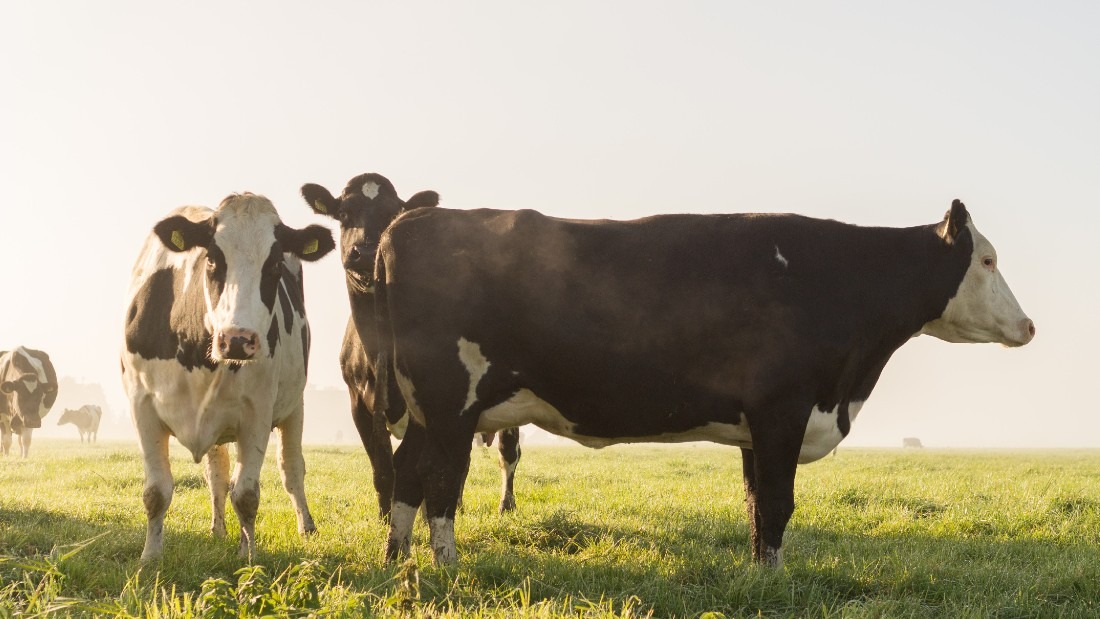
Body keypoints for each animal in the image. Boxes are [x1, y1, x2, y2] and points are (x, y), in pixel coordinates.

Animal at [120, 192, 332, 562]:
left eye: (274, 265)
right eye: (212, 259)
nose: (237, 339)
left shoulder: (257, 413)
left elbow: (246, 495)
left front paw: (249, 557)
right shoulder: (141, 406)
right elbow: (156, 491)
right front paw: (150, 557)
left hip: (295, 407)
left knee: (291, 468)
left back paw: (305, 527)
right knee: (217, 474)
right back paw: (217, 529)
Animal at [301, 173, 523, 518]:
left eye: (393, 214)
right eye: (344, 214)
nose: (367, 252)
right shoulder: (358, 403)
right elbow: (383, 467)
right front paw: (386, 517)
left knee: (507, 452)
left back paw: (505, 505)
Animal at [374, 199, 1034, 567]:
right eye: (987, 260)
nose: (1029, 326)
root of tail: (408, 220)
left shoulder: (755, 426)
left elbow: (756, 506)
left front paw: (761, 576)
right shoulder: (782, 410)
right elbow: (777, 503)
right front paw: (773, 581)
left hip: (427, 410)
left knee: (407, 474)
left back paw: (397, 561)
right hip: (450, 403)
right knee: (440, 482)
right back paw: (445, 566)